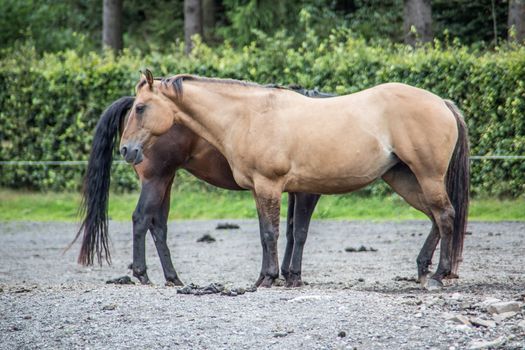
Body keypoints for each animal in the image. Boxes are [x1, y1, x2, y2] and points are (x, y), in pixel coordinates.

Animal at [74, 87, 328, 288]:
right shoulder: (306, 192)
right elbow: (299, 232)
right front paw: (294, 276)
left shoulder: (288, 190)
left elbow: (288, 231)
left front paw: (283, 274)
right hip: (155, 180)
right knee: (141, 219)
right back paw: (142, 274)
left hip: (165, 180)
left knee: (158, 226)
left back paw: (173, 277)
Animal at [119, 70, 470, 290]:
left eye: (141, 108)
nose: (126, 149)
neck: (249, 116)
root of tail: (442, 103)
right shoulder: (264, 189)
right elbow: (271, 233)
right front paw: (267, 278)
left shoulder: (271, 185)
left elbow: (274, 233)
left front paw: (271, 278)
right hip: (404, 179)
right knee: (437, 217)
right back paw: (424, 269)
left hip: (426, 175)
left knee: (445, 215)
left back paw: (437, 274)